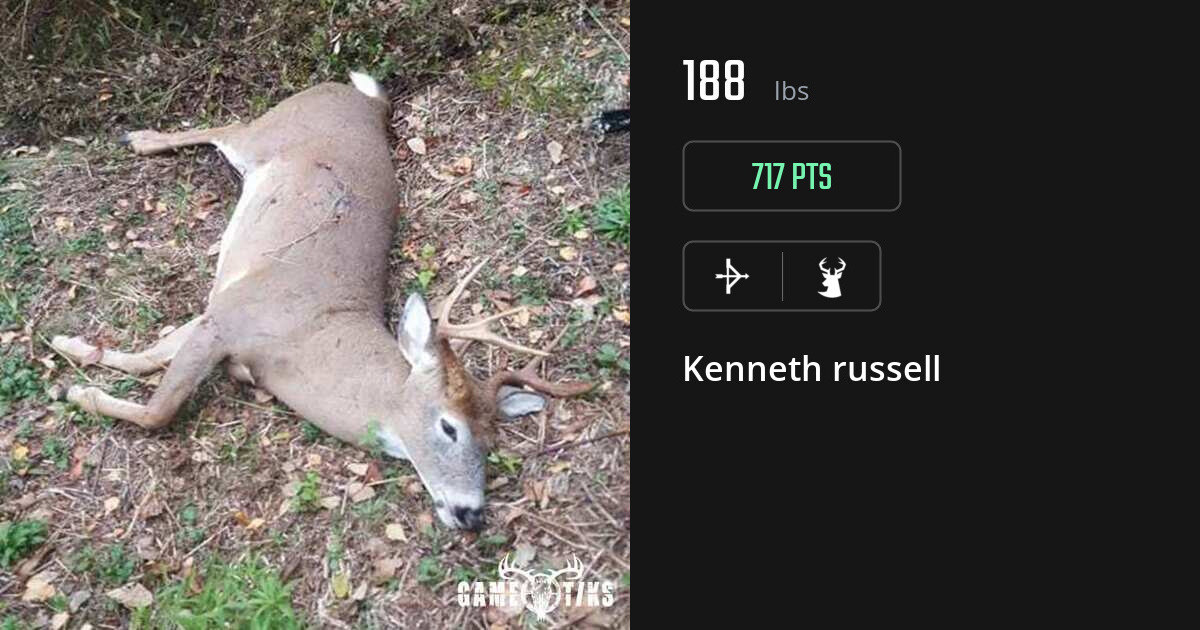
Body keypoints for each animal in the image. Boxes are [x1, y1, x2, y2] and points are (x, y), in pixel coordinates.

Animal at [49, 72, 591, 531]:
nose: (472, 514)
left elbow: (147, 359)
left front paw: (70, 348)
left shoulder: (218, 311)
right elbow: (158, 409)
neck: (306, 337)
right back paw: (137, 139)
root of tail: (365, 101)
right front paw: (75, 390)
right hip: (267, 131)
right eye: (449, 427)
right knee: (226, 125)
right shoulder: (231, 317)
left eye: (491, 440)